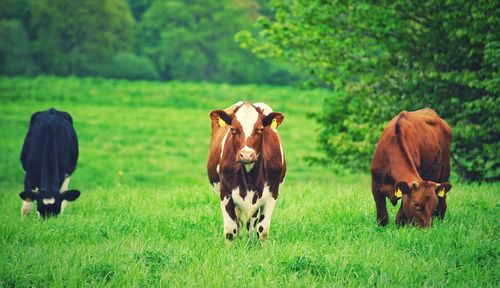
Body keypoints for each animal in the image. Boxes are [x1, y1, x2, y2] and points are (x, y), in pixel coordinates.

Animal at [207, 101, 286, 243]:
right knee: (238, 223)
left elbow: (263, 230)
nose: (246, 155)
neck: (250, 177)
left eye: (260, 129)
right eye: (233, 129)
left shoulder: (272, 193)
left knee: (251, 223)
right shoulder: (225, 192)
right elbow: (230, 230)